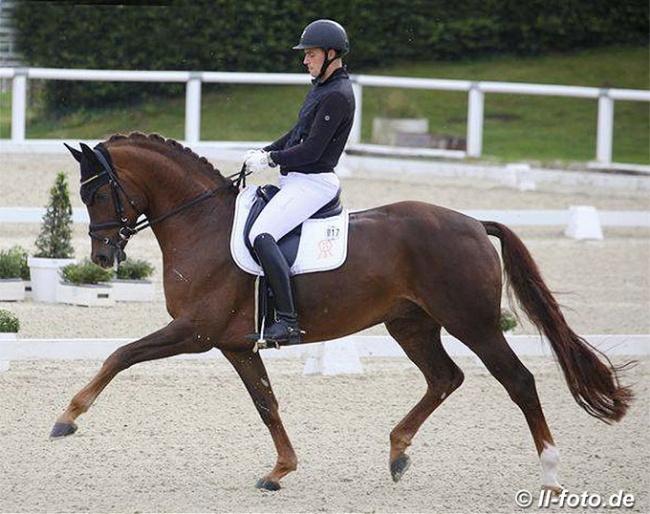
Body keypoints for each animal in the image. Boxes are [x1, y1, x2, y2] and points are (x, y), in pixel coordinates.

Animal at [54, 132, 628, 488]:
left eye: (99, 194)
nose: (103, 257)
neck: (202, 226)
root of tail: (471, 223)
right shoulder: (236, 344)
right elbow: (267, 404)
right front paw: (281, 470)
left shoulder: (194, 332)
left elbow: (120, 355)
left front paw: (67, 419)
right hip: (411, 324)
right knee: (445, 377)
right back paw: (397, 452)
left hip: (473, 322)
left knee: (519, 381)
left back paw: (550, 474)